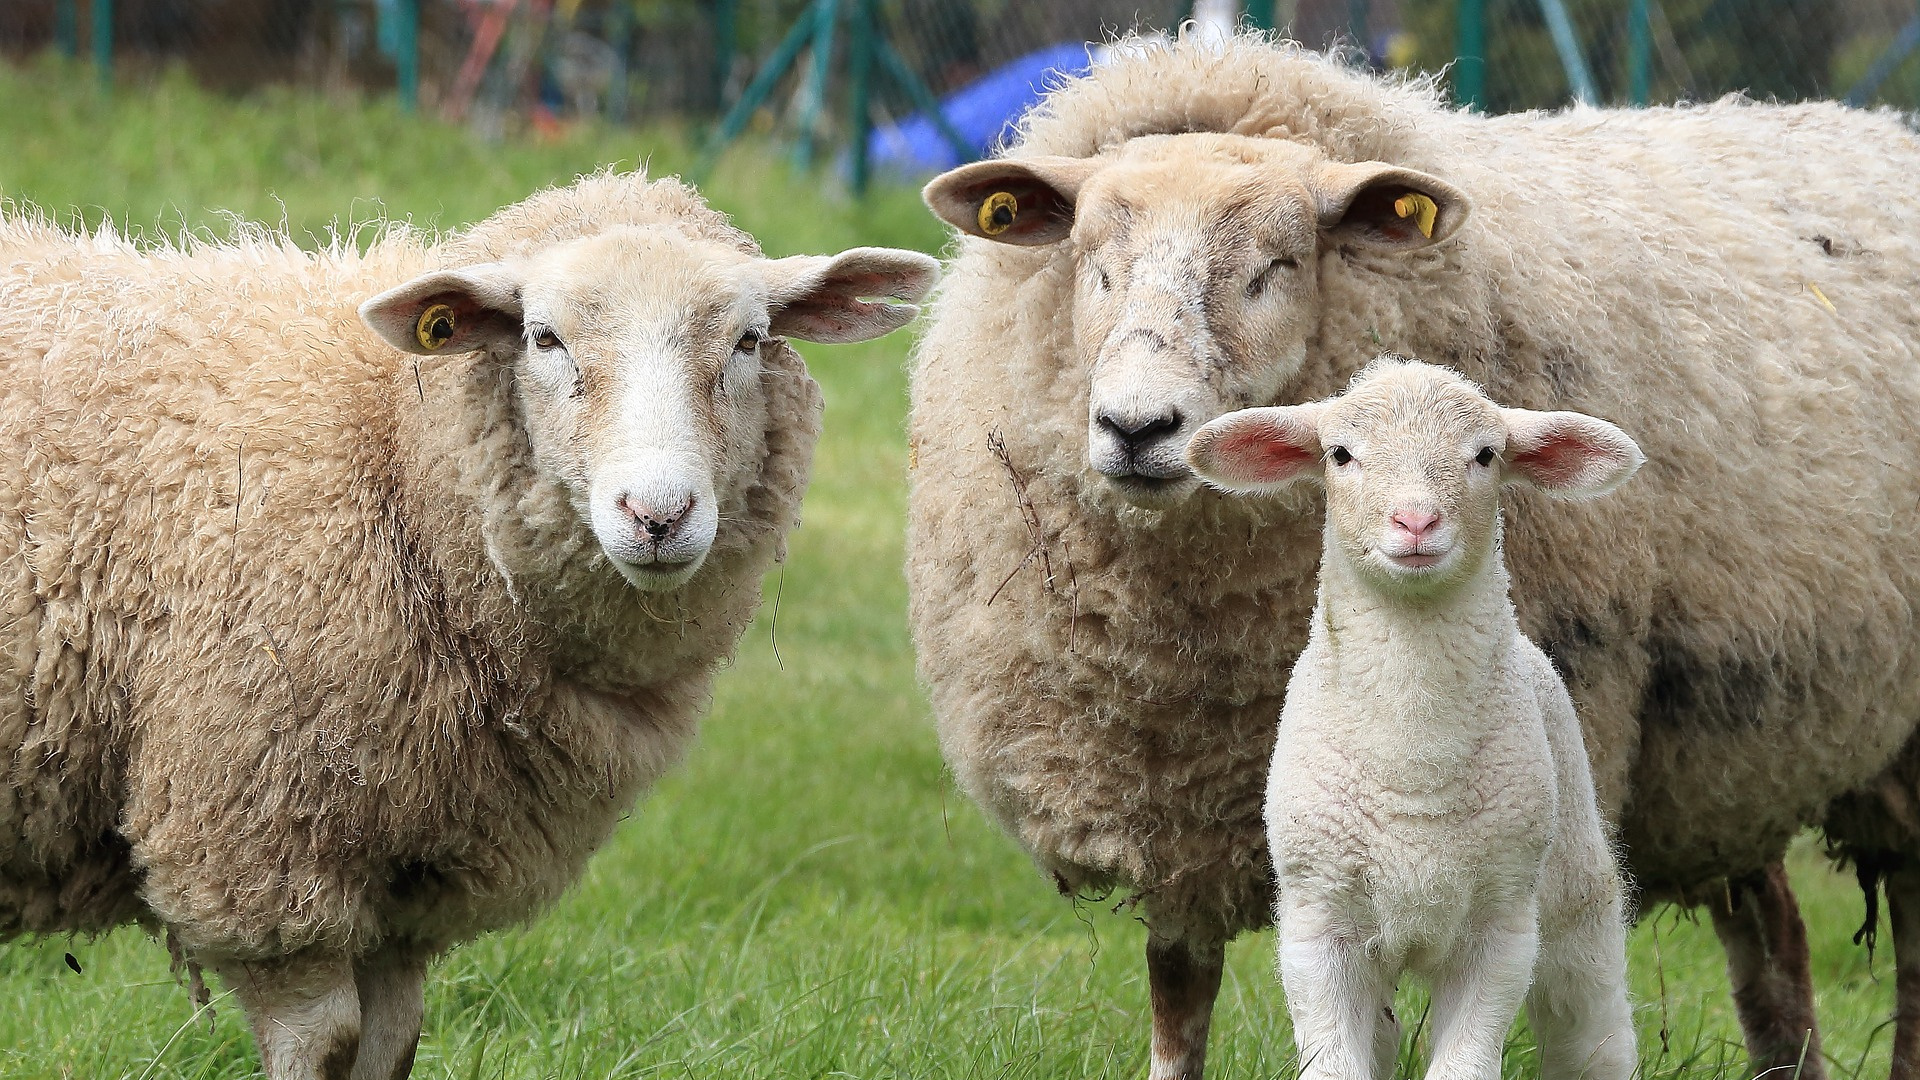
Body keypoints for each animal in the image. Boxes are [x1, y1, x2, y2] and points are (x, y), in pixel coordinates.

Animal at [0, 170, 938, 1080]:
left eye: (748, 340)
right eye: (544, 338)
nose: (658, 515)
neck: (389, 448)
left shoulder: (409, 885)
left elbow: (389, 1045)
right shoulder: (254, 847)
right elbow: (323, 1042)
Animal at [1186, 359, 1640, 1080]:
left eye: (1485, 455)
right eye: (1340, 454)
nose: (1417, 521)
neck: (1413, 756)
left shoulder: (1501, 927)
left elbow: (1464, 1066)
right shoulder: (1318, 925)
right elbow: (1335, 1066)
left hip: (1573, 889)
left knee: (1592, 1026)